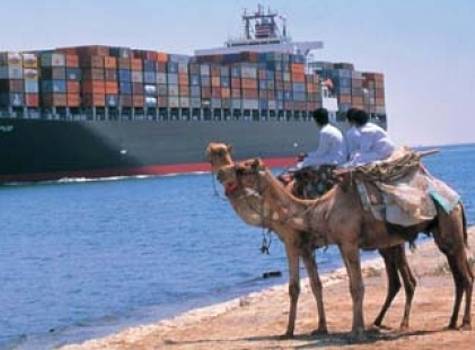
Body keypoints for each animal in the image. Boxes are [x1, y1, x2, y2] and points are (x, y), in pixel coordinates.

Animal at [206, 143, 418, 336]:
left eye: (240, 168)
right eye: (213, 156)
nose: (221, 174)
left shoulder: (294, 242)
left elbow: (296, 287)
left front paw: (289, 330)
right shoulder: (307, 246)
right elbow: (317, 285)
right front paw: (321, 327)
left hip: (389, 242)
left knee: (404, 281)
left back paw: (401, 324)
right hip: (387, 242)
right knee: (399, 281)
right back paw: (378, 321)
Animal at [218, 157, 474, 340]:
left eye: (242, 169)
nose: (220, 173)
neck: (317, 210)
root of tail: (458, 199)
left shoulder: (344, 242)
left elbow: (356, 287)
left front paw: (355, 331)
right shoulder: (339, 244)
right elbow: (339, 286)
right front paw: (321, 329)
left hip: (447, 224)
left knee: (463, 277)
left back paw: (462, 323)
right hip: (439, 234)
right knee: (455, 276)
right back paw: (449, 322)